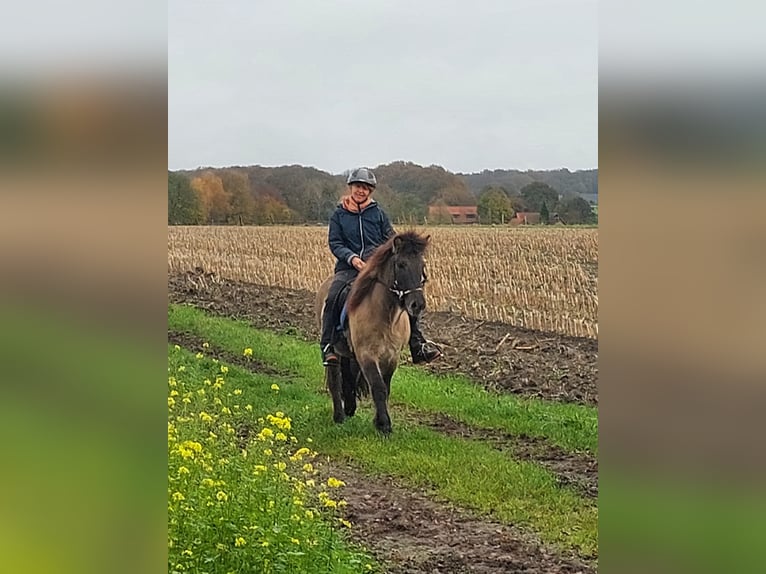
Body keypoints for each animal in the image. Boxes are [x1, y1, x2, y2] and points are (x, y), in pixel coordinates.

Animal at [314, 231, 432, 436]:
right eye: (401, 264)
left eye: (422, 266)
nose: (417, 305)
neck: (386, 317)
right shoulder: (366, 355)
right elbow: (378, 387)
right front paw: (384, 425)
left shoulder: (391, 357)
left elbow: (386, 387)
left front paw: (379, 421)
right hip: (335, 350)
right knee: (335, 377)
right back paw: (339, 416)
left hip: (348, 353)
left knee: (347, 377)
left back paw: (350, 407)